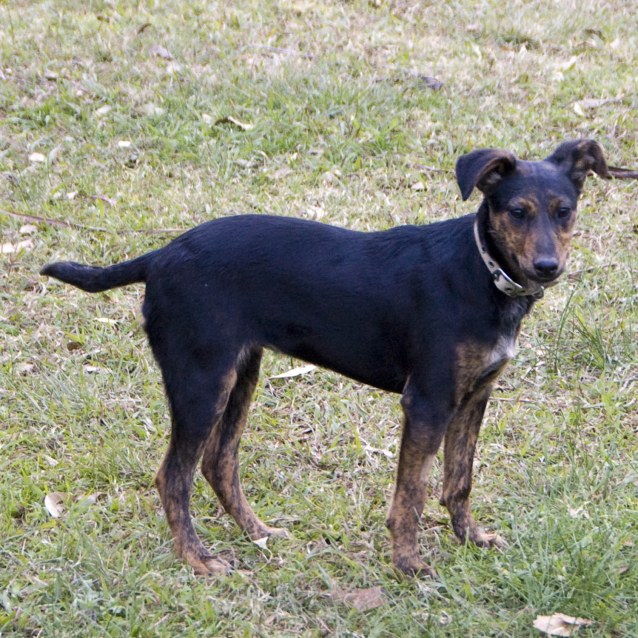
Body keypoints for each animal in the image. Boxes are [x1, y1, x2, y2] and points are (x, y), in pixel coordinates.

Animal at [42, 140, 612, 580]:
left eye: (564, 210)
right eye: (517, 211)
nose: (548, 266)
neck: (482, 272)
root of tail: (159, 256)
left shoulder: (474, 397)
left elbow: (460, 481)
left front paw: (469, 538)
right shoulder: (427, 402)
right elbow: (411, 494)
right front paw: (408, 565)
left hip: (240, 373)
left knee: (218, 463)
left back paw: (257, 533)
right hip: (201, 380)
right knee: (173, 477)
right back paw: (198, 559)